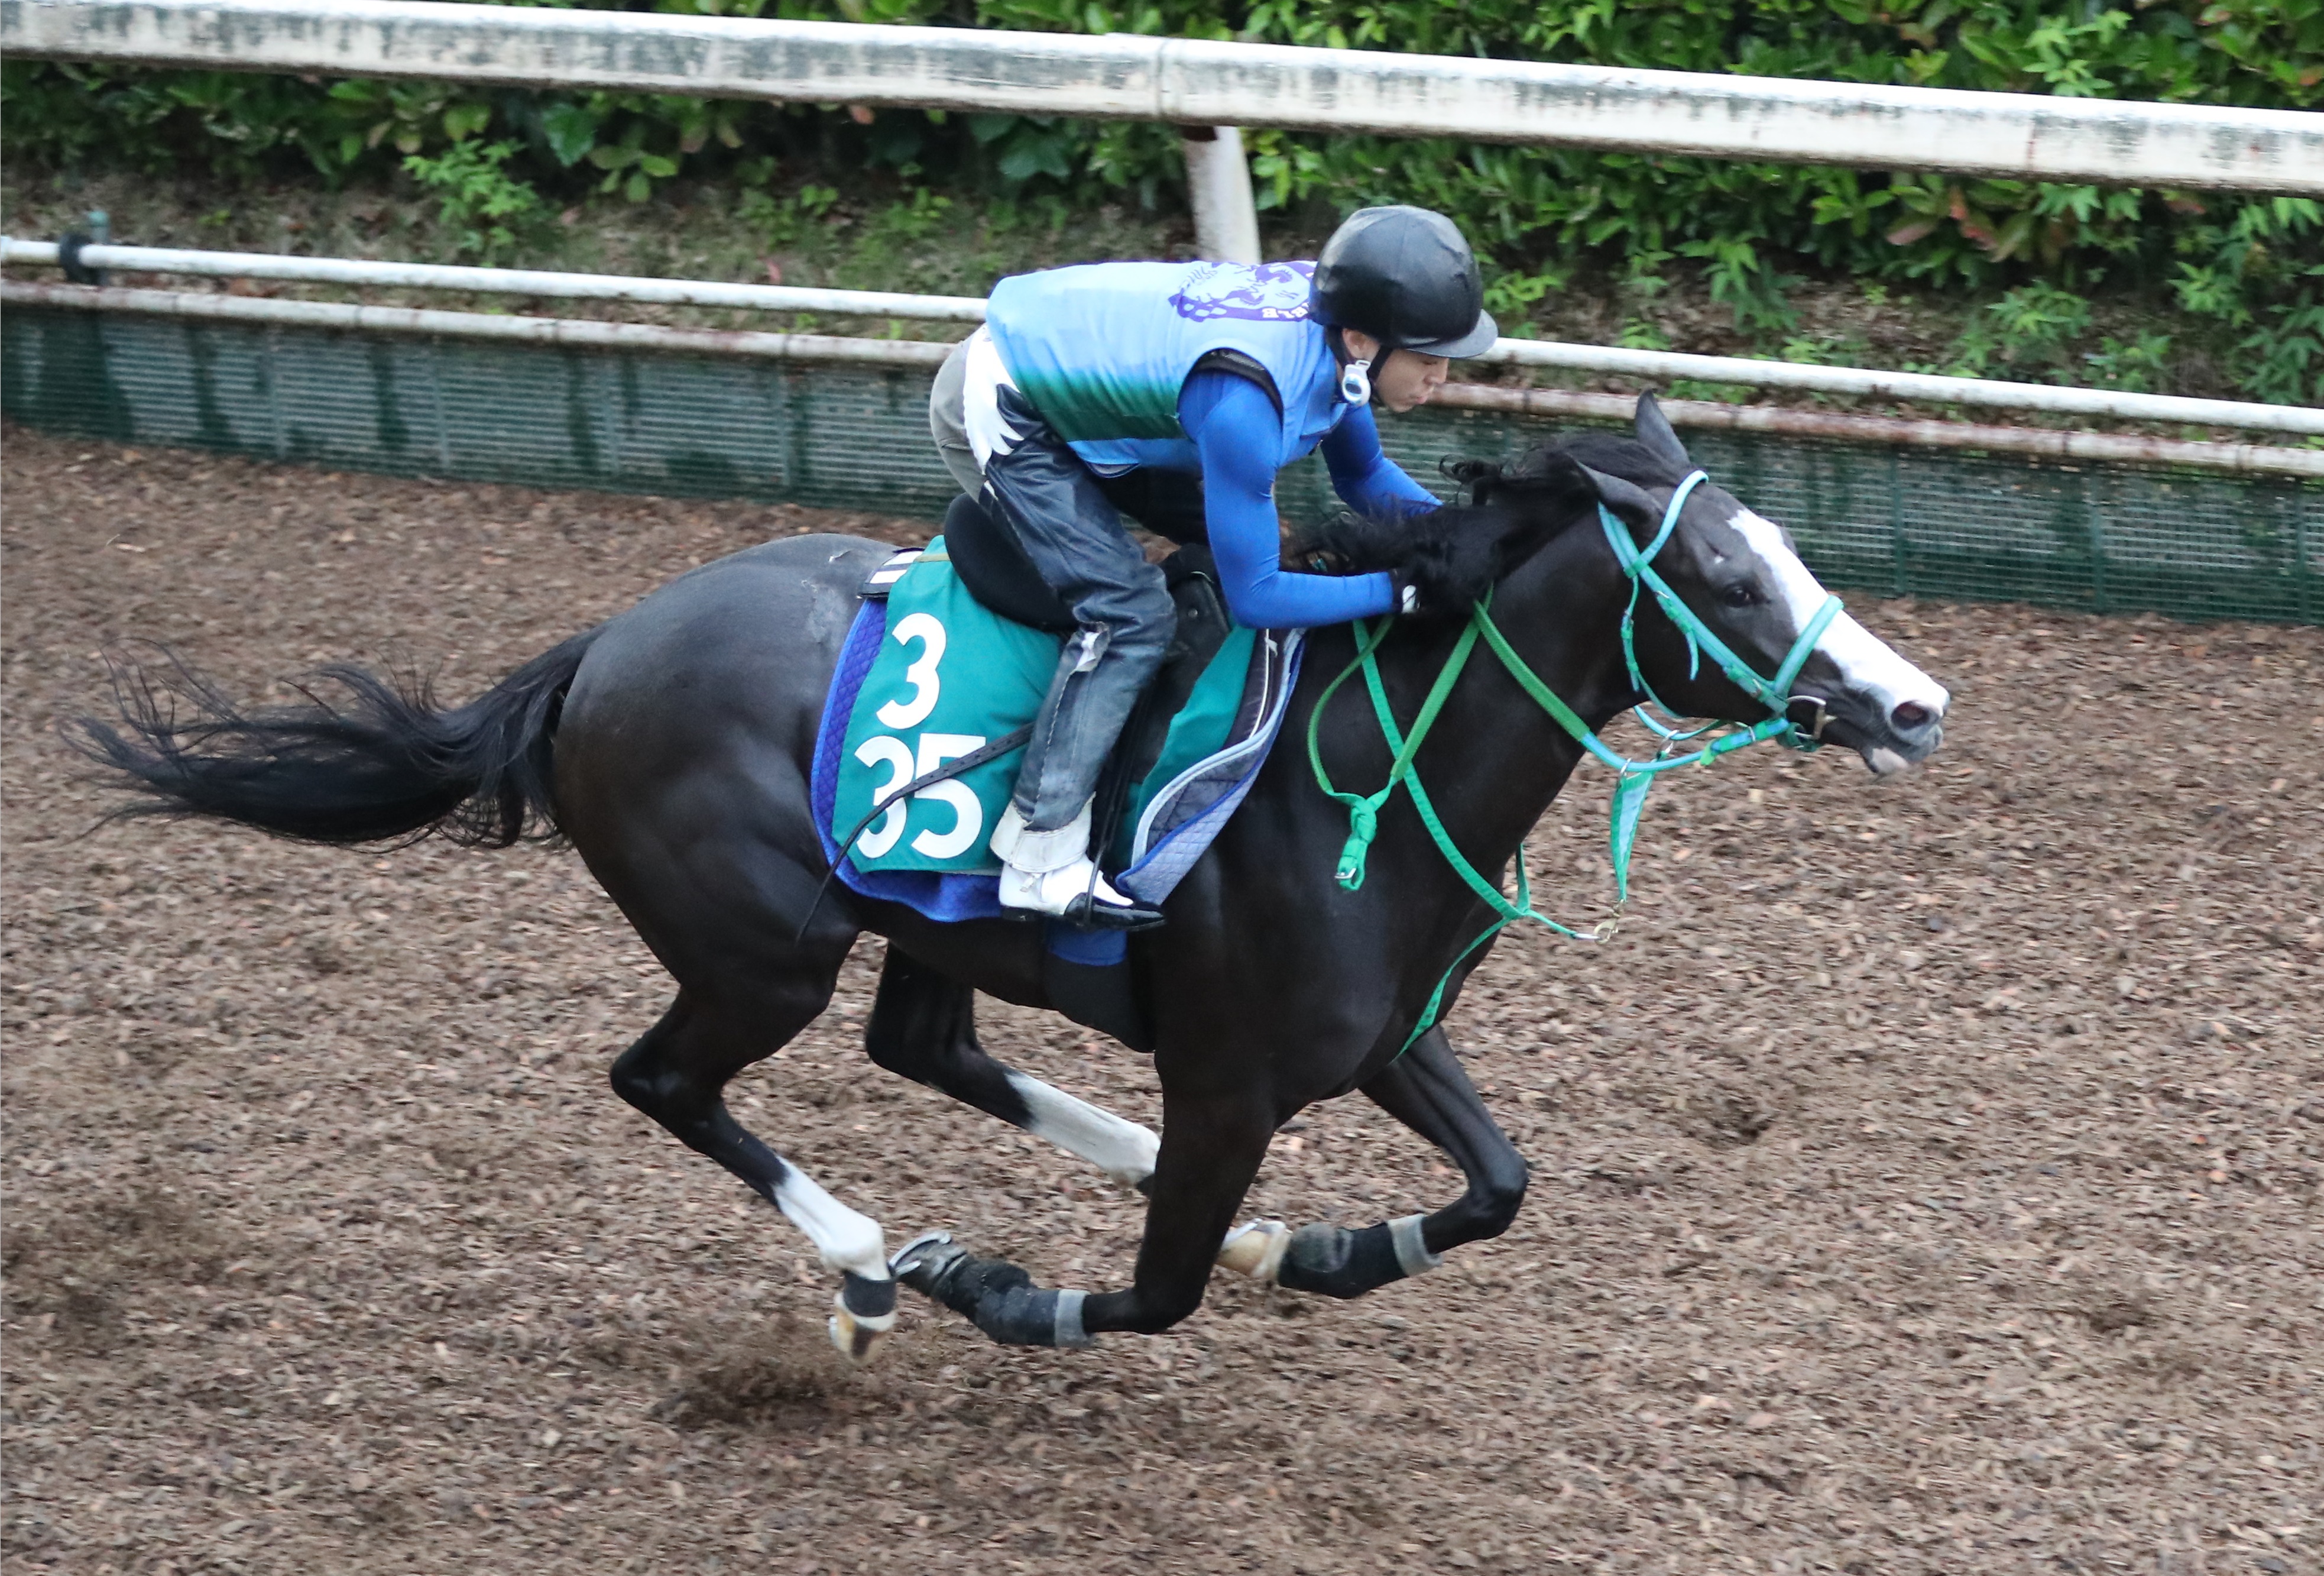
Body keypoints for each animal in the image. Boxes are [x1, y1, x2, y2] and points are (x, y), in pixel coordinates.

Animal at [77, 402, 1943, 1367]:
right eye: (1723, 576)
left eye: (1789, 555)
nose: (1910, 704)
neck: (1357, 774)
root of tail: (598, 652)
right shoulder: (1234, 1077)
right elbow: (1148, 1292)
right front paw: (988, 1280)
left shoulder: (1377, 1039)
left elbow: (1495, 1184)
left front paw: (1324, 1242)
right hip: (761, 950)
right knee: (664, 1079)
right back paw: (864, 1266)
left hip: (921, 924)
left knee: (928, 1048)